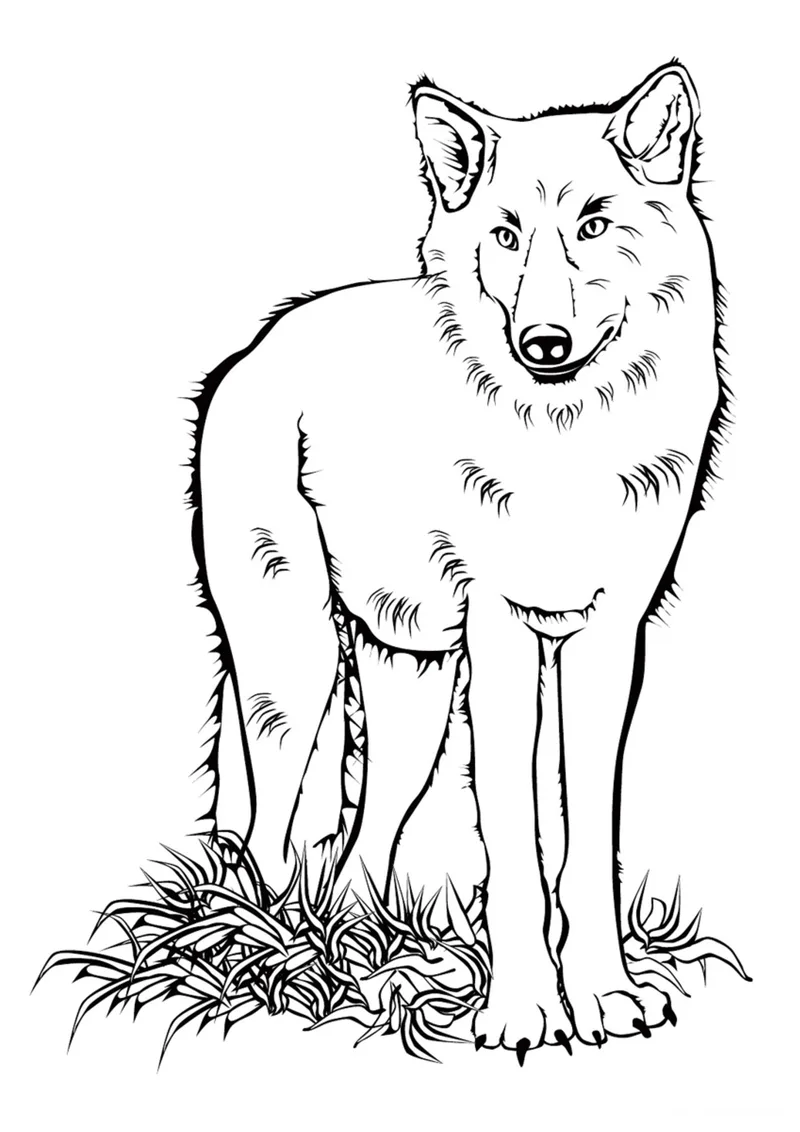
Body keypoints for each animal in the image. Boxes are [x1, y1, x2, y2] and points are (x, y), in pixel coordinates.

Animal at [192, 62, 727, 1057]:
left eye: (594, 224)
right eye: (505, 236)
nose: (544, 343)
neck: (564, 445)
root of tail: (253, 350)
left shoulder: (608, 643)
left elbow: (585, 836)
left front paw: (604, 996)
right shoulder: (506, 638)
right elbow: (515, 838)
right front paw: (523, 1011)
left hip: (416, 685)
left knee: (357, 848)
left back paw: (368, 966)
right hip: (296, 670)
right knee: (273, 838)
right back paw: (275, 962)